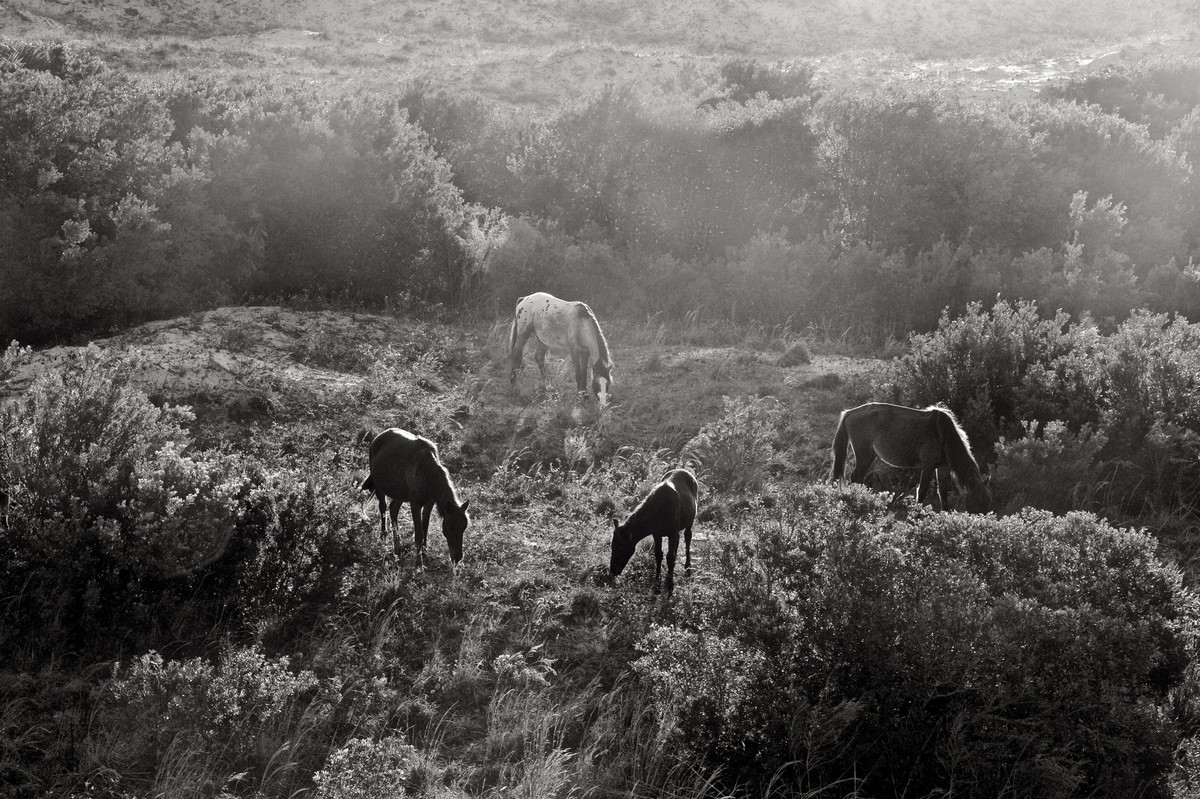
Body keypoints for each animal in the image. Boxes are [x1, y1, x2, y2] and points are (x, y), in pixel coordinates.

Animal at [357, 429, 470, 559]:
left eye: (464, 527)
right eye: (450, 527)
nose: (457, 557)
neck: (427, 475)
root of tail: (377, 438)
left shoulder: (429, 503)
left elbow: (425, 527)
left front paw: (424, 552)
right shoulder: (415, 505)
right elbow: (418, 535)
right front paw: (419, 561)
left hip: (400, 494)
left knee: (393, 509)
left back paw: (397, 545)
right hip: (379, 487)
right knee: (383, 507)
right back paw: (384, 536)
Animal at [830, 400, 988, 513]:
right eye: (977, 502)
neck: (943, 434)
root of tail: (850, 412)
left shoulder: (942, 467)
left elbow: (943, 492)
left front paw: (945, 515)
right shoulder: (928, 465)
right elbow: (922, 491)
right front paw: (916, 518)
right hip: (864, 455)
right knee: (856, 477)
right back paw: (859, 501)